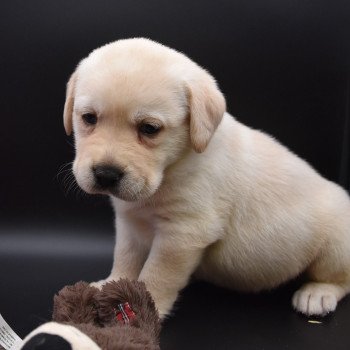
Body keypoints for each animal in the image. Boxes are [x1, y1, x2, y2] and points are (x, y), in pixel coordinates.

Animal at [63, 37, 350, 318]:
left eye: (150, 128)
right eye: (89, 118)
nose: (105, 174)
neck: (172, 167)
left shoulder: (183, 233)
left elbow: (157, 274)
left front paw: (146, 307)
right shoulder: (130, 224)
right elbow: (125, 259)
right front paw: (111, 286)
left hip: (335, 244)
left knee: (339, 279)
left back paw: (317, 294)